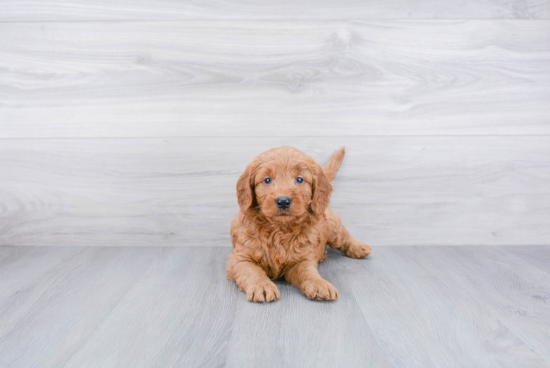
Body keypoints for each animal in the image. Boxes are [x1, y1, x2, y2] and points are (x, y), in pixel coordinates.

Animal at [226, 146, 374, 302]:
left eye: (299, 179)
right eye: (267, 180)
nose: (283, 201)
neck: (279, 229)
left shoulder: (302, 259)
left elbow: (307, 272)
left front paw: (319, 284)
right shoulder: (240, 259)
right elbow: (252, 271)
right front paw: (262, 285)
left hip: (334, 228)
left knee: (344, 238)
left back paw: (359, 248)